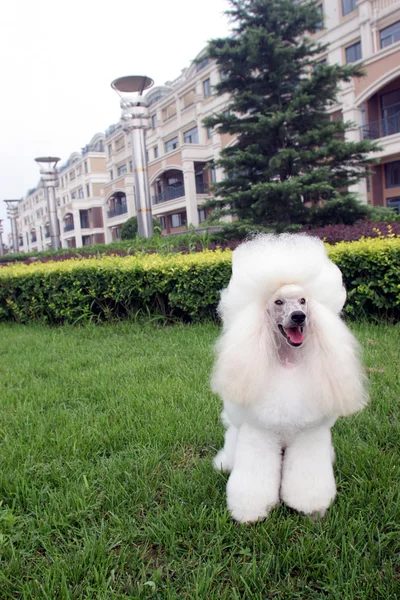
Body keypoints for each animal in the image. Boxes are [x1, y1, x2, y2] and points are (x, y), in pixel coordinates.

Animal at [212, 232, 368, 524]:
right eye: (278, 302)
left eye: (304, 301)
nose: (299, 317)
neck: (288, 363)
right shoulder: (259, 434)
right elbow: (254, 478)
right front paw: (249, 513)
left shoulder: (309, 434)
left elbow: (307, 477)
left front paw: (311, 507)